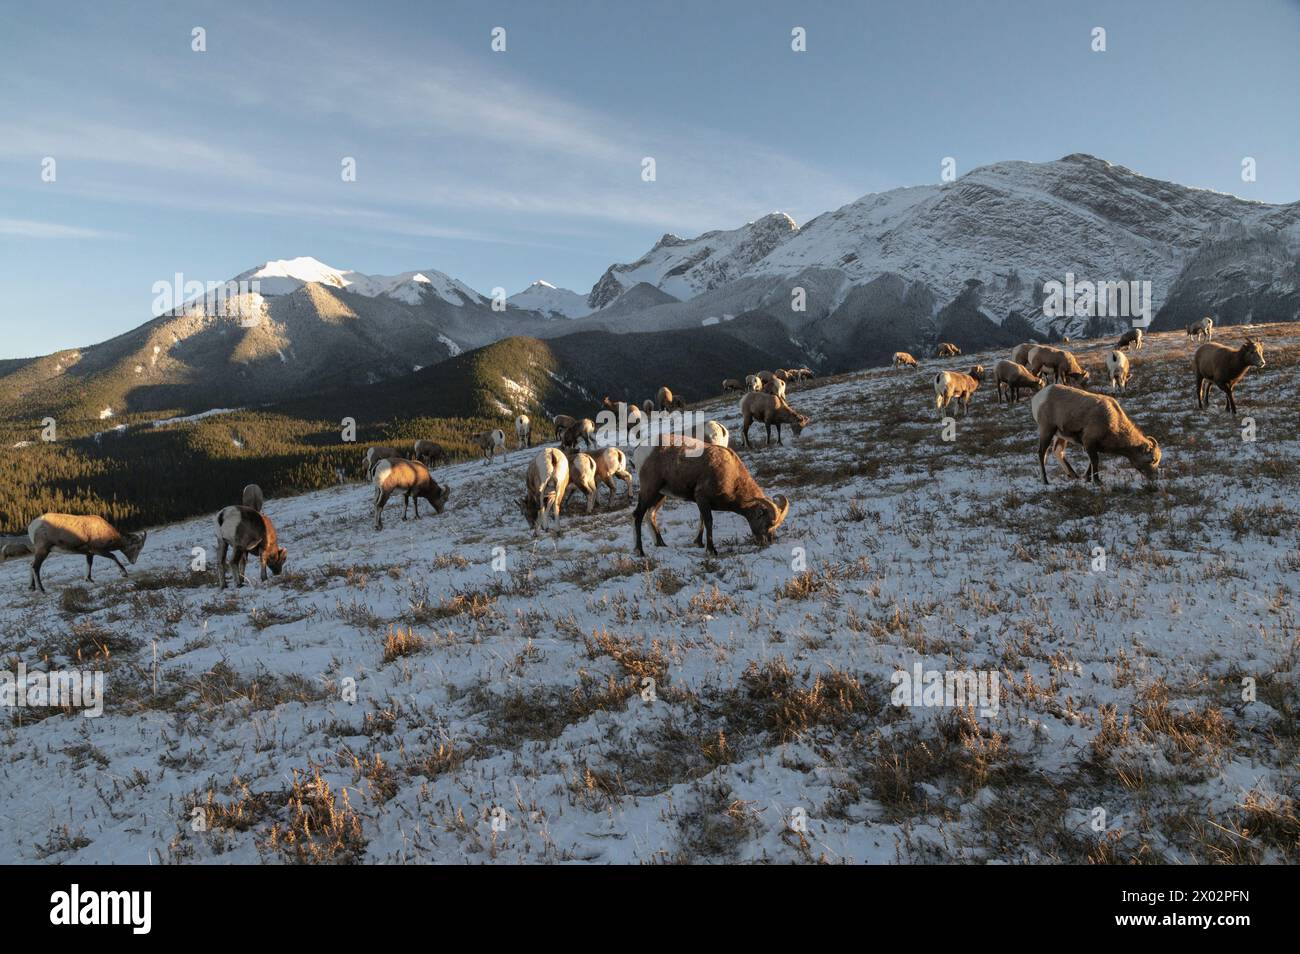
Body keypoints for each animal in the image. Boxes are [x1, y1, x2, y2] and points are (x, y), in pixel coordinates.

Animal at [631, 436, 785, 556]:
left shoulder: (703, 503)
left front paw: (699, 543)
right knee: (638, 515)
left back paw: (661, 544)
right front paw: (711, 551)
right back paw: (640, 551)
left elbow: (702, 521)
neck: (732, 476)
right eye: (767, 523)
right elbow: (708, 522)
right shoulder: (702, 499)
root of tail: (640, 451)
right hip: (649, 490)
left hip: (660, 495)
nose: (767, 542)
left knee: (651, 515)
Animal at [1029, 384, 1164, 486]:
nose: (1154, 478)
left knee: (1058, 451)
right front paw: (1097, 482)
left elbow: (1091, 462)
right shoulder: (1089, 442)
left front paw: (1087, 479)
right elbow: (1095, 461)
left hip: (1060, 435)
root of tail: (1038, 398)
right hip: (1047, 430)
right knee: (1042, 453)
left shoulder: (1092, 446)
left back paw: (1074, 476)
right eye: (1152, 460)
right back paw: (1045, 481)